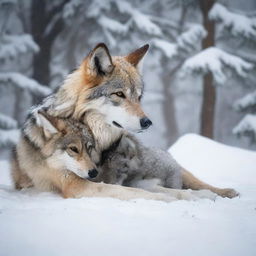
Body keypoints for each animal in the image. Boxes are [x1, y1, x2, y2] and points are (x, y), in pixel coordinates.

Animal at [23, 43, 237, 200]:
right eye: (119, 94)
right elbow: (132, 191)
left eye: (138, 97)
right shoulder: (75, 183)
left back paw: (224, 191)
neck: (99, 142)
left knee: (193, 179)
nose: (147, 122)